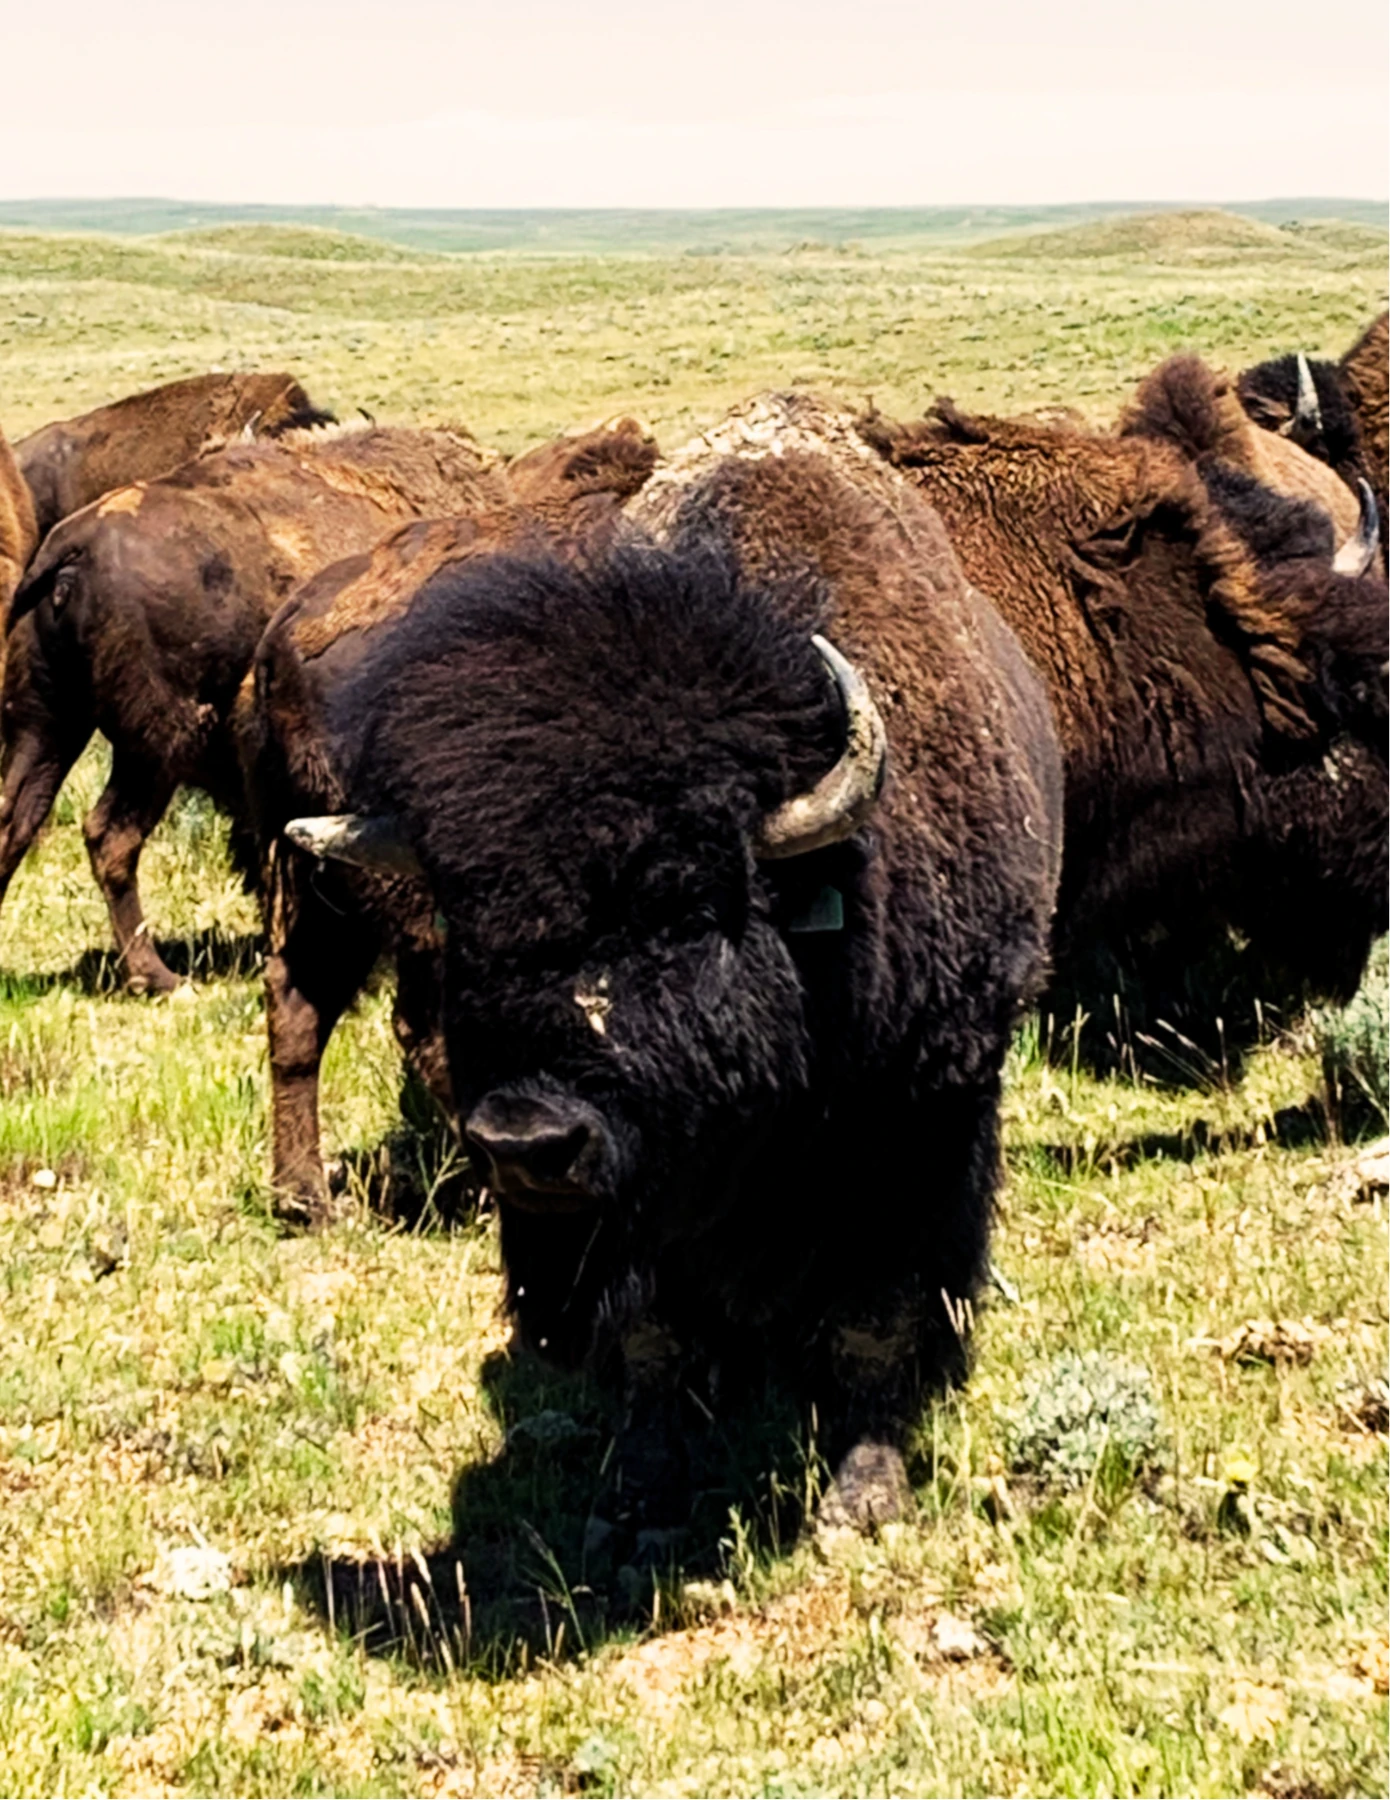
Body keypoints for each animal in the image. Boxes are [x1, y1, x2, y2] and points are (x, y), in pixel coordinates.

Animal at [278, 393, 1063, 1535]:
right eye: (466, 920)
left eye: (686, 905)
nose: (528, 1139)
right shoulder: (627, 1200)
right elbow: (653, 1333)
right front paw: (642, 1490)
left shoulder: (918, 1113)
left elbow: (875, 1314)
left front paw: (862, 1495)